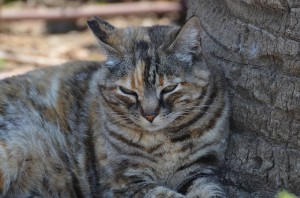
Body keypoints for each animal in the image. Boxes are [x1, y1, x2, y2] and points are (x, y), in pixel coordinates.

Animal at [0, 16, 230, 197]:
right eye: (128, 91)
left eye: (169, 88)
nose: (150, 115)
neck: (164, 142)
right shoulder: (123, 182)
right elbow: (164, 194)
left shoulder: (200, 171)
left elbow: (210, 191)